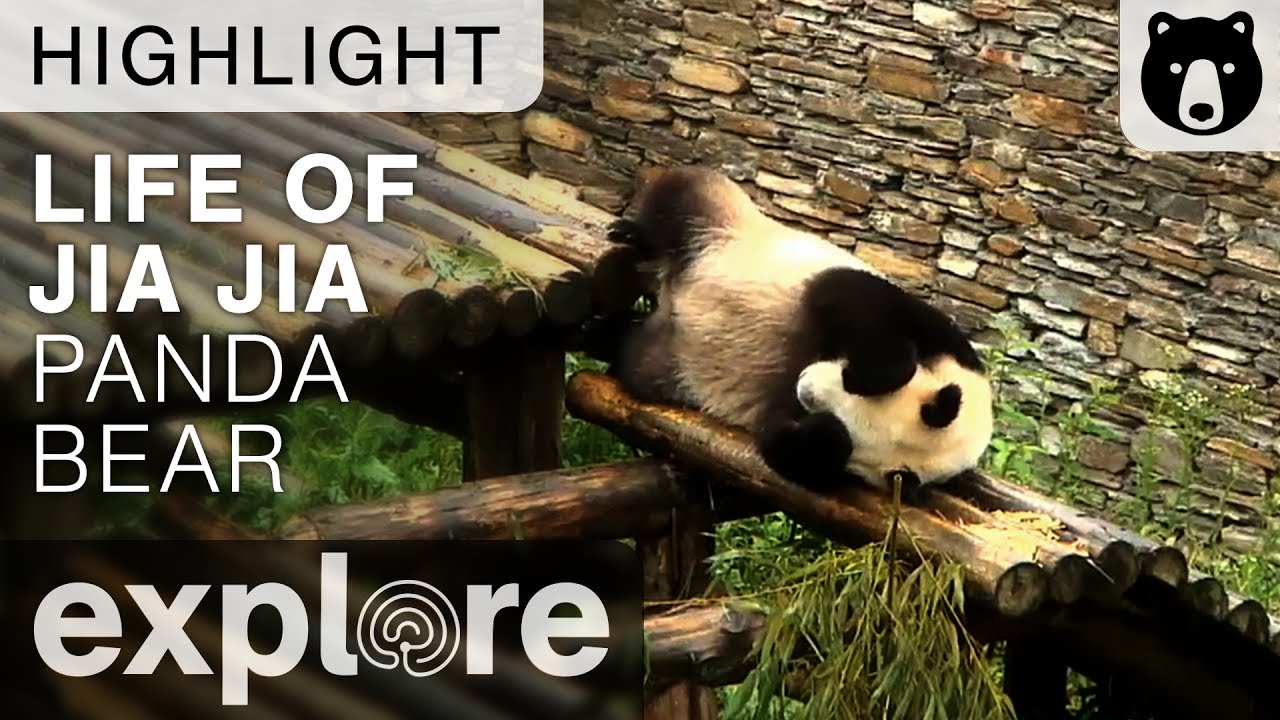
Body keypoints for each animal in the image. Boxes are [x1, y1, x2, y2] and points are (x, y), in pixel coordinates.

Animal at [608, 166, 994, 494]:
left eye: (846, 415)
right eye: (849, 388)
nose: (804, 386)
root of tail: (670, 292)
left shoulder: (782, 413)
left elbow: (790, 452)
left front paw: (828, 436)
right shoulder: (929, 327)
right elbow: (856, 302)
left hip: (669, 360)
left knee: (636, 364)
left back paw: (619, 336)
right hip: (724, 217)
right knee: (679, 198)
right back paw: (633, 233)